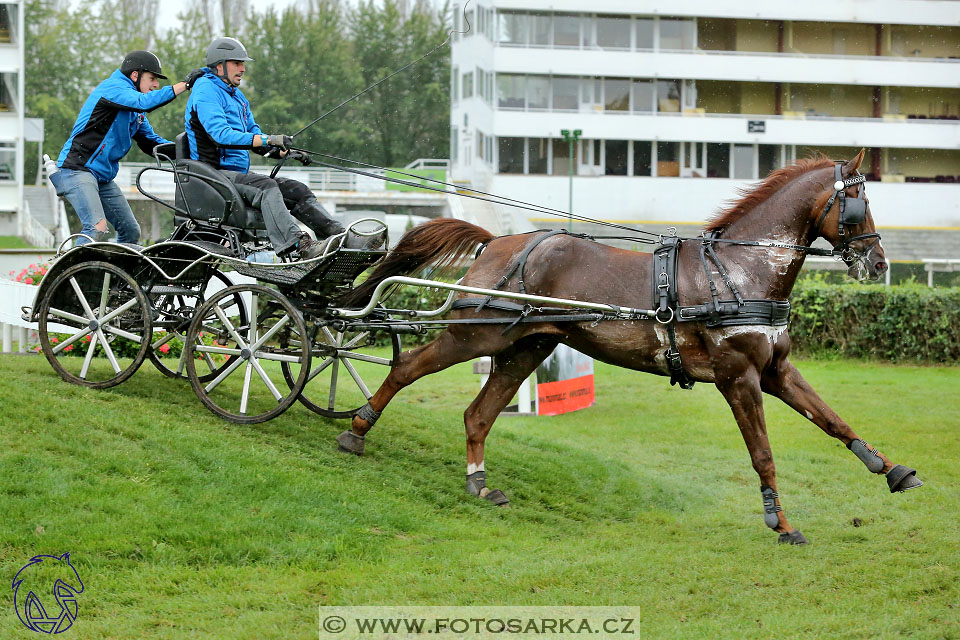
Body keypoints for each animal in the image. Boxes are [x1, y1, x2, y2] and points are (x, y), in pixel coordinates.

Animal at [338, 151, 924, 544]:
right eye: (857, 205)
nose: (878, 263)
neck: (739, 271)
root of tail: (499, 241)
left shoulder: (776, 369)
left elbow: (832, 419)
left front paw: (891, 469)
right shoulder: (739, 377)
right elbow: (763, 454)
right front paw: (780, 522)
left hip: (526, 347)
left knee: (478, 414)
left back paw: (479, 484)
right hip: (473, 334)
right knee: (409, 368)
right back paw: (357, 429)